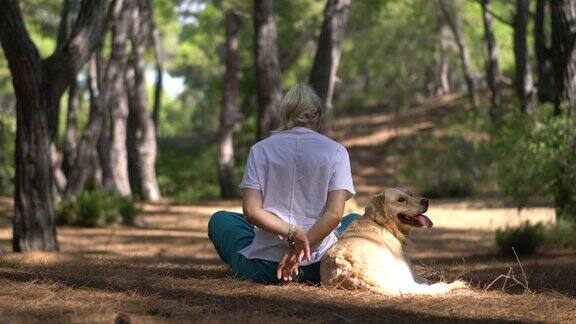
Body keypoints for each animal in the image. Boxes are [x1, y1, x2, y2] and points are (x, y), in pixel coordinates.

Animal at [320, 187, 468, 296]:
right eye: (401, 200)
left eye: (410, 194)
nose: (426, 201)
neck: (385, 225)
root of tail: (352, 272)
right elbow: (423, 279)